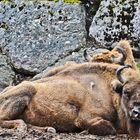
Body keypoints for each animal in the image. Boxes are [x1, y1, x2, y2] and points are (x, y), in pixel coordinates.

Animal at [0, 61, 139, 137]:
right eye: (126, 92)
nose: (137, 112)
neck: (110, 90)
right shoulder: (85, 118)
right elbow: (111, 129)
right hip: (25, 91)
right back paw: (21, 127)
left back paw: (49, 129)